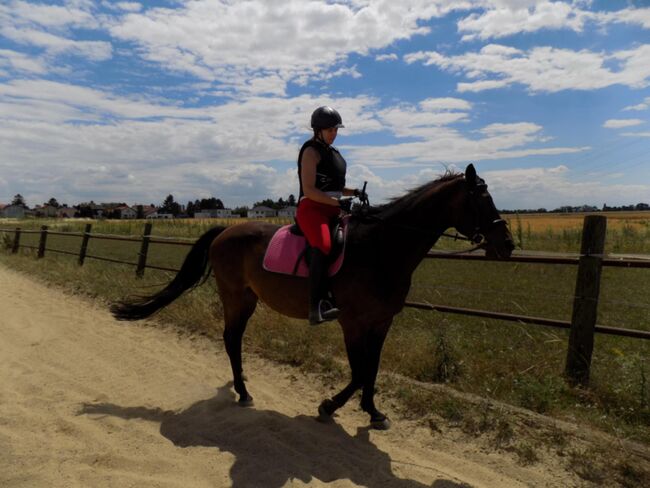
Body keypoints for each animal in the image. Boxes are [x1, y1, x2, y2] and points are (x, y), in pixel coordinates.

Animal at [114, 163, 512, 428]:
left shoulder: (382, 322)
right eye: (482, 199)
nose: (507, 245)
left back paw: (241, 385)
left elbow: (372, 368)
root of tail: (226, 230)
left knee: (233, 338)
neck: (381, 248)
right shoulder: (352, 323)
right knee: (231, 338)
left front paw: (374, 412)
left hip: (247, 298)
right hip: (236, 297)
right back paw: (243, 392)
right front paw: (328, 406)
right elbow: (358, 371)